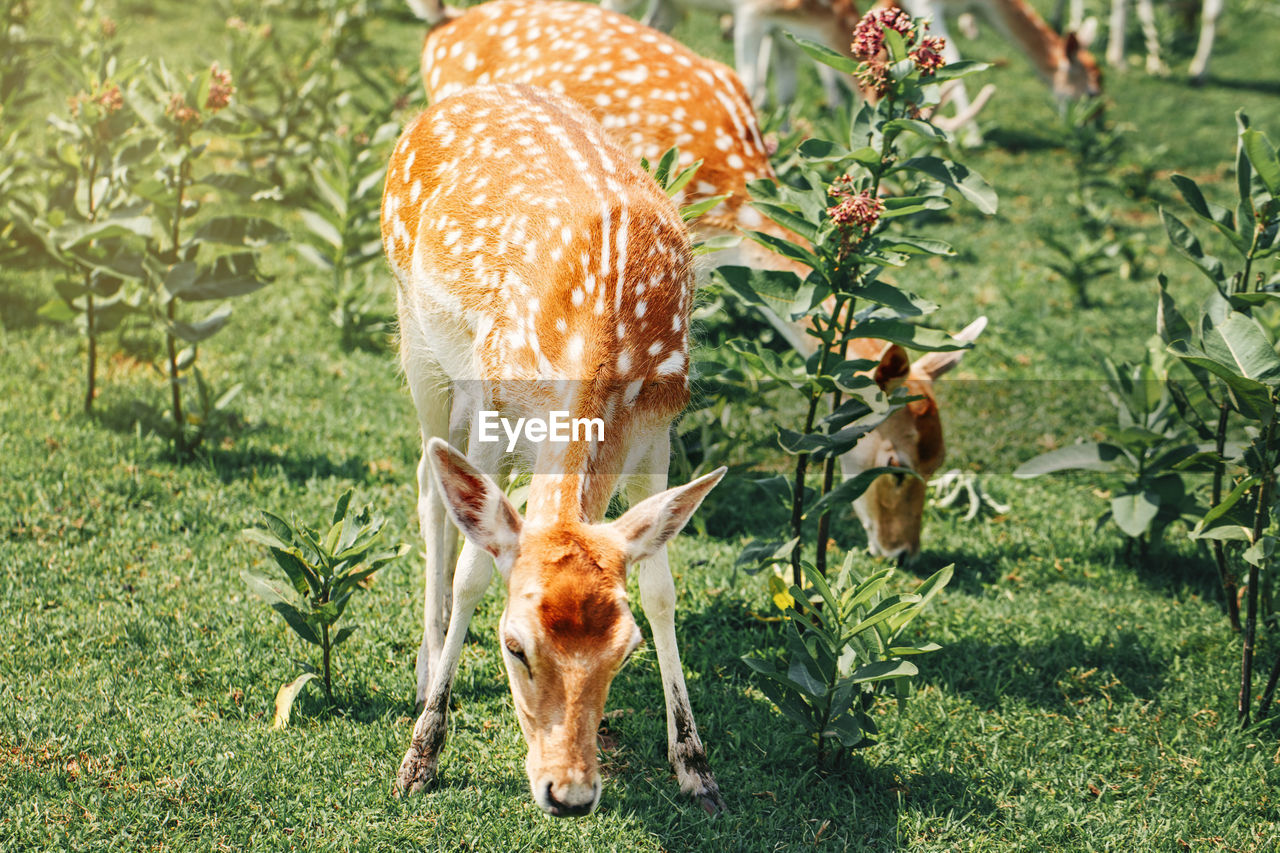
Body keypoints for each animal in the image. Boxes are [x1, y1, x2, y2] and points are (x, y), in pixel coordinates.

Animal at [381, 83, 732, 814]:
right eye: (514, 645)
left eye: (625, 649)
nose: (567, 792)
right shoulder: (492, 402)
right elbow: (474, 571)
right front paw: (421, 756)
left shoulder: (659, 427)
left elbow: (661, 585)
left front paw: (696, 766)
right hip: (417, 338)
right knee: (430, 489)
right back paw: (425, 672)